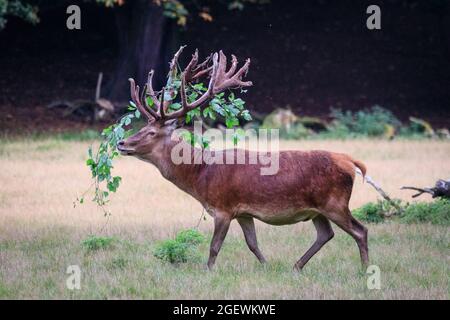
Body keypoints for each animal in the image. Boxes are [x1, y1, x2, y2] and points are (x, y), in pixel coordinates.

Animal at [117, 47, 370, 270]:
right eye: (143, 127)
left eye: (151, 132)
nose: (122, 143)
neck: (200, 176)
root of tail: (351, 162)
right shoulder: (244, 212)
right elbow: (252, 244)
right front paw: (267, 267)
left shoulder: (223, 208)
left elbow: (214, 247)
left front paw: (208, 271)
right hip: (317, 209)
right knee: (326, 234)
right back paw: (296, 266)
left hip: (335, 202)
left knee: (360, 230)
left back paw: (364, 269)